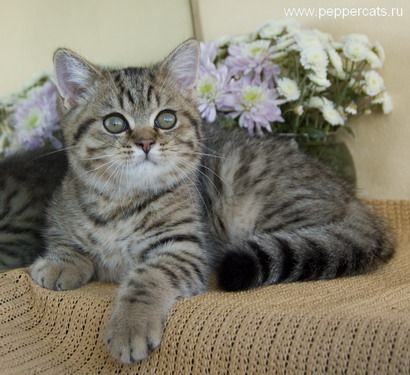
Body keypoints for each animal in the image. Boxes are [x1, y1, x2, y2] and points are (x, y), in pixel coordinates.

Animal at [1, 40, 394, 364]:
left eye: (166, 119)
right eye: (114, 123)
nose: (146, 142)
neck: (120, 201)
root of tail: (352, 198)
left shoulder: (184, 249)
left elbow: (146, 276)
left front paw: (130, 327)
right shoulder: (58, 218)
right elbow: (69, 244)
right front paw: (61, 263)